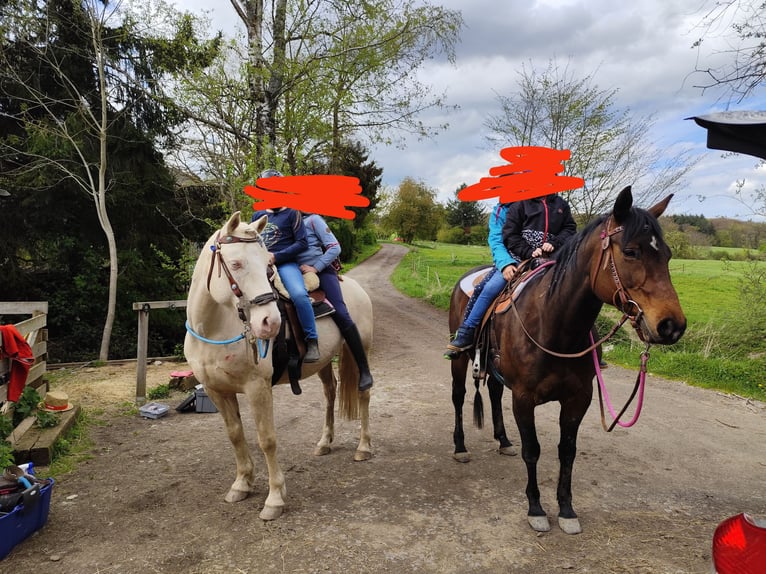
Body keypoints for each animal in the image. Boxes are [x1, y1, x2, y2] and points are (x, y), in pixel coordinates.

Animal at [184, 212, 374, 520]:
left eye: (267, 265)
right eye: (236, 264)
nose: (270, 323)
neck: (214, 330)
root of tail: (354, 287)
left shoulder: (257, 388)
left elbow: (267, 439)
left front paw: (274, 499)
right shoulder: (217, 391)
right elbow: (235, 435)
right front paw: (241, 484)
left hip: (360, 349)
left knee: (363, 392)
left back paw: (364, 446)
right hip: (323, 361)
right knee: (330, 393)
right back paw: (324, 442)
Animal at [448, 188, 688, 536]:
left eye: (667, 255)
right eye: (631, 252)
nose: (672, 326)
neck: (554, 324)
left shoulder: (578, 399)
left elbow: (567, 452)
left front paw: (566, 510)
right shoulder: (524, 398)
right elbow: (532, 450)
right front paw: (536, 509)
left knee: (493, 391)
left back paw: (503, 440)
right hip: (460, 360)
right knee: (458, 396)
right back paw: (460, 447)